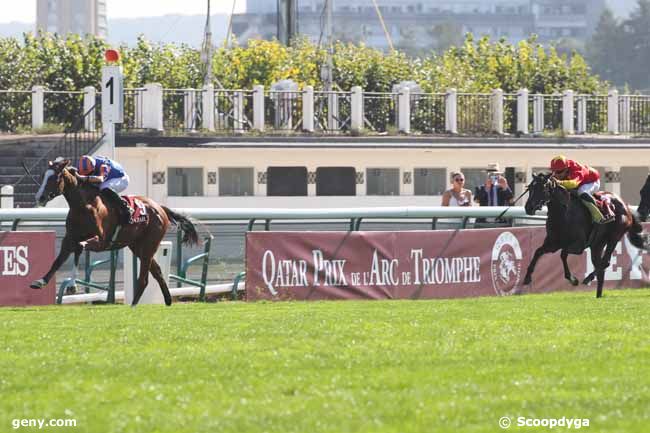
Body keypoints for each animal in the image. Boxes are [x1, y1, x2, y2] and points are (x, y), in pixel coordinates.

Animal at [27, 158, 199, 304]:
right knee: (157, 272)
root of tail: (160, 207)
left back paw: (134, 305)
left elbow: (79, 247)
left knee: (144, 279)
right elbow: (58, 261)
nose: (40, 197)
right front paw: (41, 281)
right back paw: (167, 300)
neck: (83, 206)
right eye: (43, 176)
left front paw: (72, 286)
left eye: (55, 178)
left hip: (149, 245)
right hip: (137, 246)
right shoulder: (69, 238)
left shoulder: (100, 241)